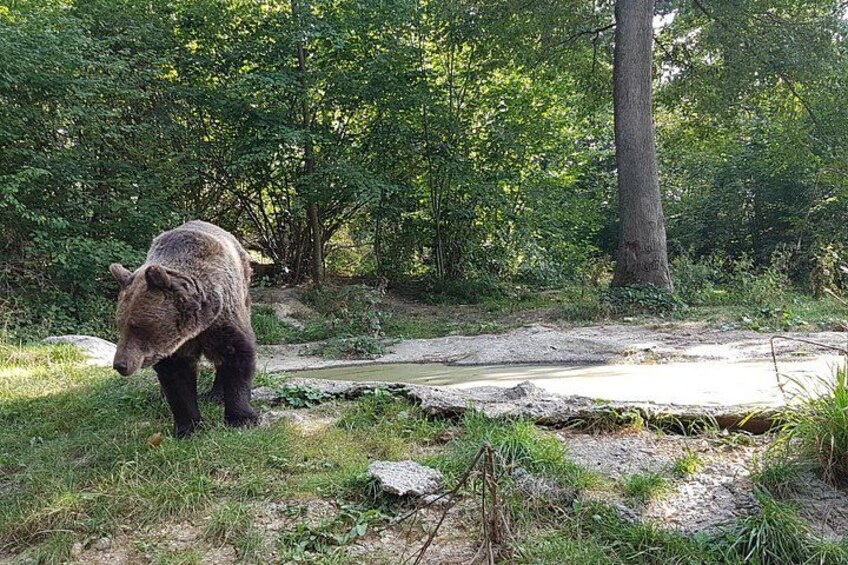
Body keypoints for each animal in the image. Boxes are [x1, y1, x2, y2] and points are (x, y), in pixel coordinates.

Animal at [109, 220, 259, 438]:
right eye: (120, 325)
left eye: (138, 326)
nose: (120, 364)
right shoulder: (173, 346)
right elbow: (177, 379)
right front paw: (187, 428)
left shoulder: (223, 319)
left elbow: (237, 357)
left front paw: (241, 418)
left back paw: (216, 394)